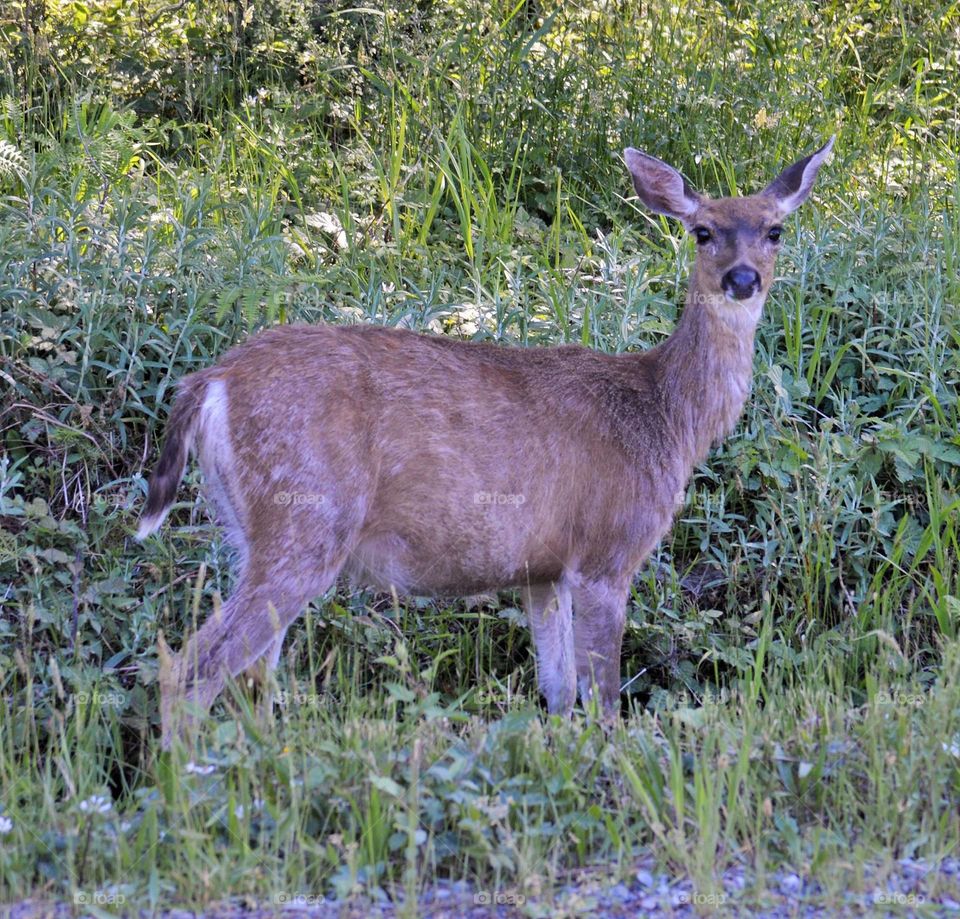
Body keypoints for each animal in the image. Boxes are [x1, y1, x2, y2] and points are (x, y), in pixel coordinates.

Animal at [138, 137, 834, 748]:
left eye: (775, 230)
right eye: (702, 231)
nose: (742, 278)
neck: (665, 415)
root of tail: (211, 382)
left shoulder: (543, 570)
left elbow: (558, 692)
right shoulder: (607, 550)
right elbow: (604, 699)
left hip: (247, 528)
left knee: (250, 678)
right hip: (304, 517)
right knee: (193, 670)